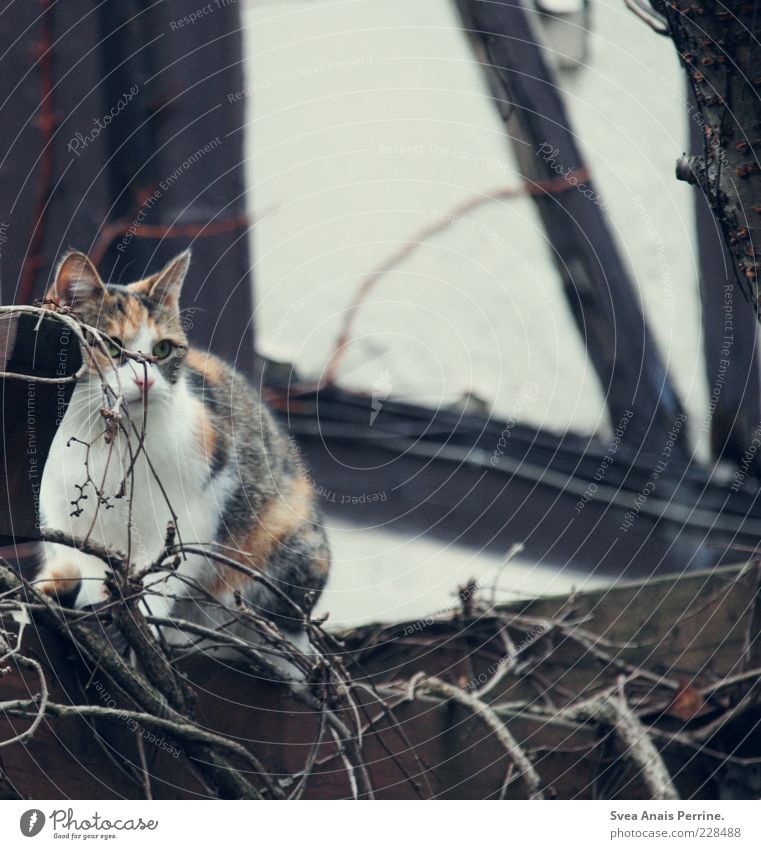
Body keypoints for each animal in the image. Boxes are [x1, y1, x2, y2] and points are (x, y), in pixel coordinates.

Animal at [34, 248, 330, 652]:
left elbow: (163, 570)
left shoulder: (196, 505)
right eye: (110, 346)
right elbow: (87, 559)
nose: (144, 380)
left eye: (162, 349)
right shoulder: (65, 515)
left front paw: (144, 618)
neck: (107, 438)